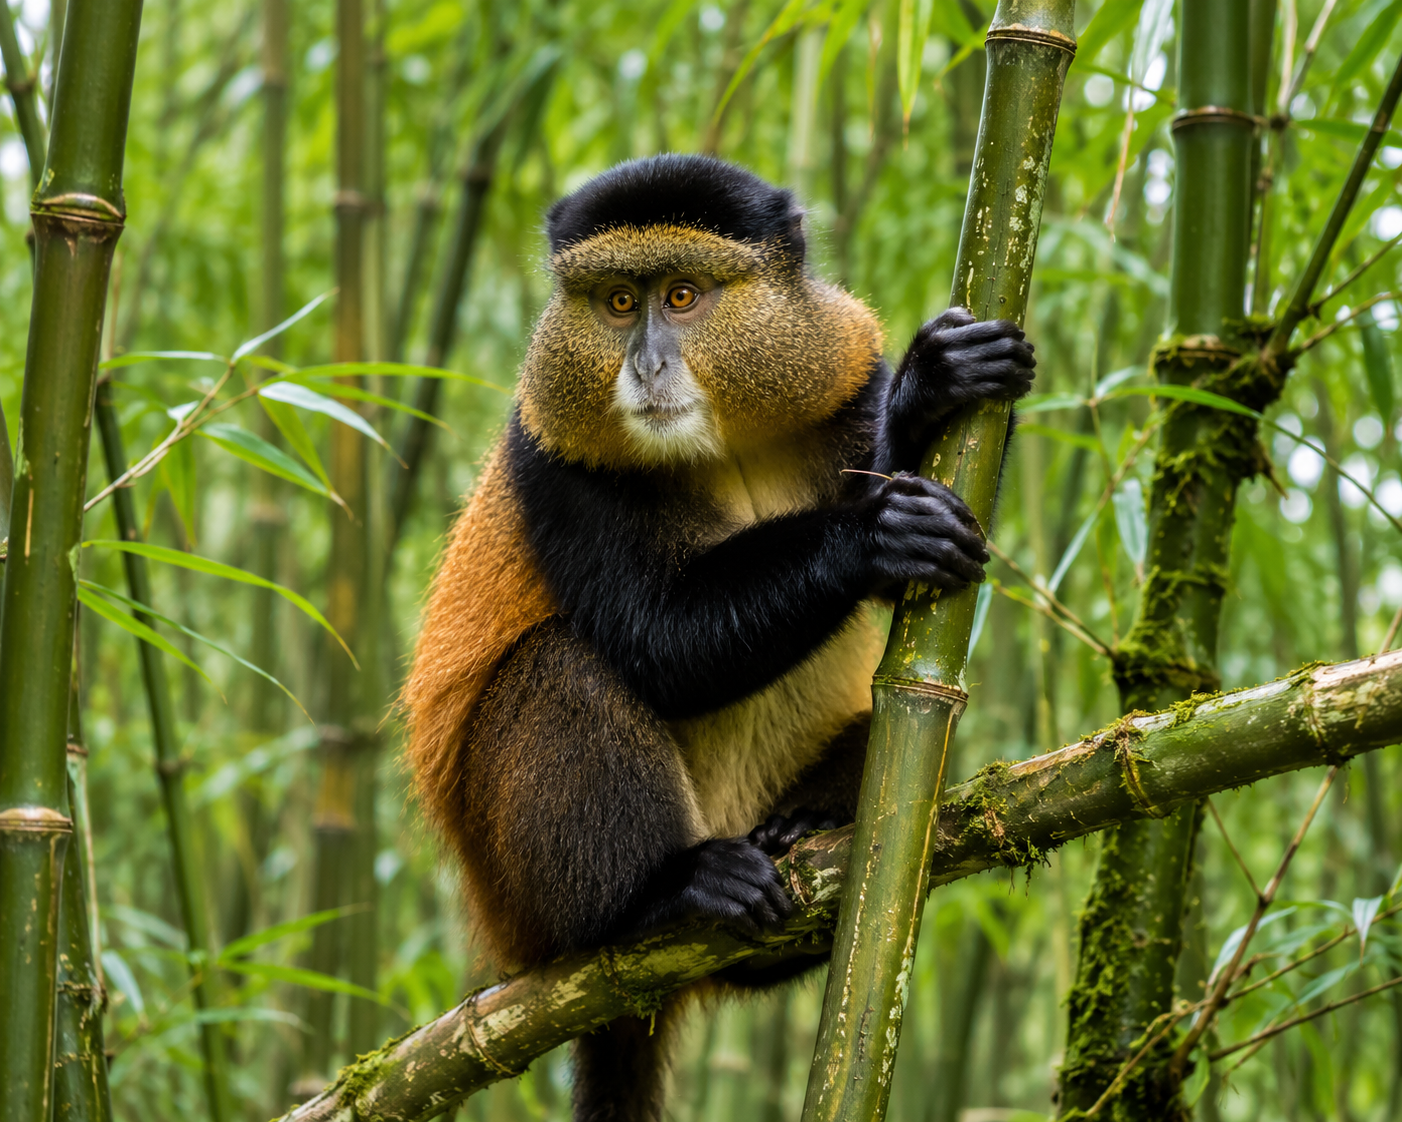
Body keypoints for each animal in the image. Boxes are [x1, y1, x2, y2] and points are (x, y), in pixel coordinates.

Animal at [402, 154, 1035, 1122]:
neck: (722, 440)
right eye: (617, 302)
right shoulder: (556, 461)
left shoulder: (842, 372)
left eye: (684, 296)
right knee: (561, 667)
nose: (646, 363)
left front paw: (930, 390)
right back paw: (662, 894)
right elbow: (659, 642)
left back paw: (810, 820)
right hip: (529, 904)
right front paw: (868, 534)